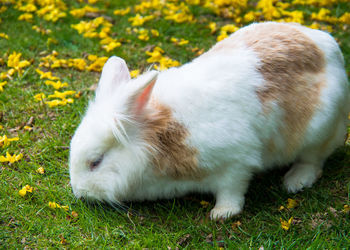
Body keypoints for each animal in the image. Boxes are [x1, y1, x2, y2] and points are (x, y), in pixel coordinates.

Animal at [69, 22, 350, 220]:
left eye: (95, 162)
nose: (79, 193)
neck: (160, 136)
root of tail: (329, 47)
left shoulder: (236, 162)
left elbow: (231, 190)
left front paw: (222, 214)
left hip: (319, 132)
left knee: (313, 160)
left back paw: (294, 182)